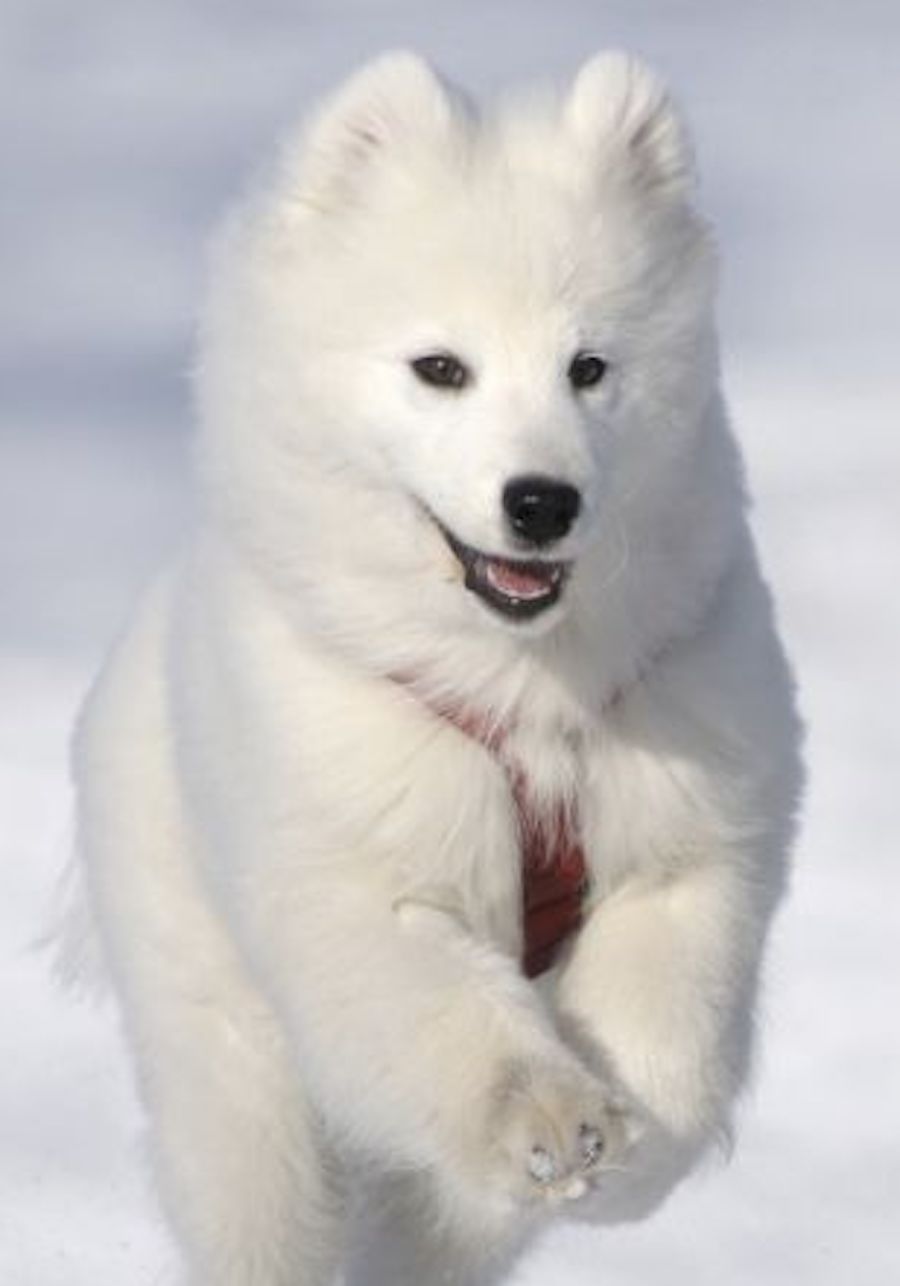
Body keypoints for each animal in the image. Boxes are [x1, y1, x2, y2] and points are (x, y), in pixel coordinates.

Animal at [70, 50, 802, 1286]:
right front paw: (552, 1121)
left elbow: (674, 1009)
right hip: (217, 1020)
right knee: (259, 1188)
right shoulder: (344, 829)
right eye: (440, 367)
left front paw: (620, 1156)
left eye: (590, 365)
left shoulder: (687, 784)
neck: (520, 684)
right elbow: (432, 998)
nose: (542, 500)